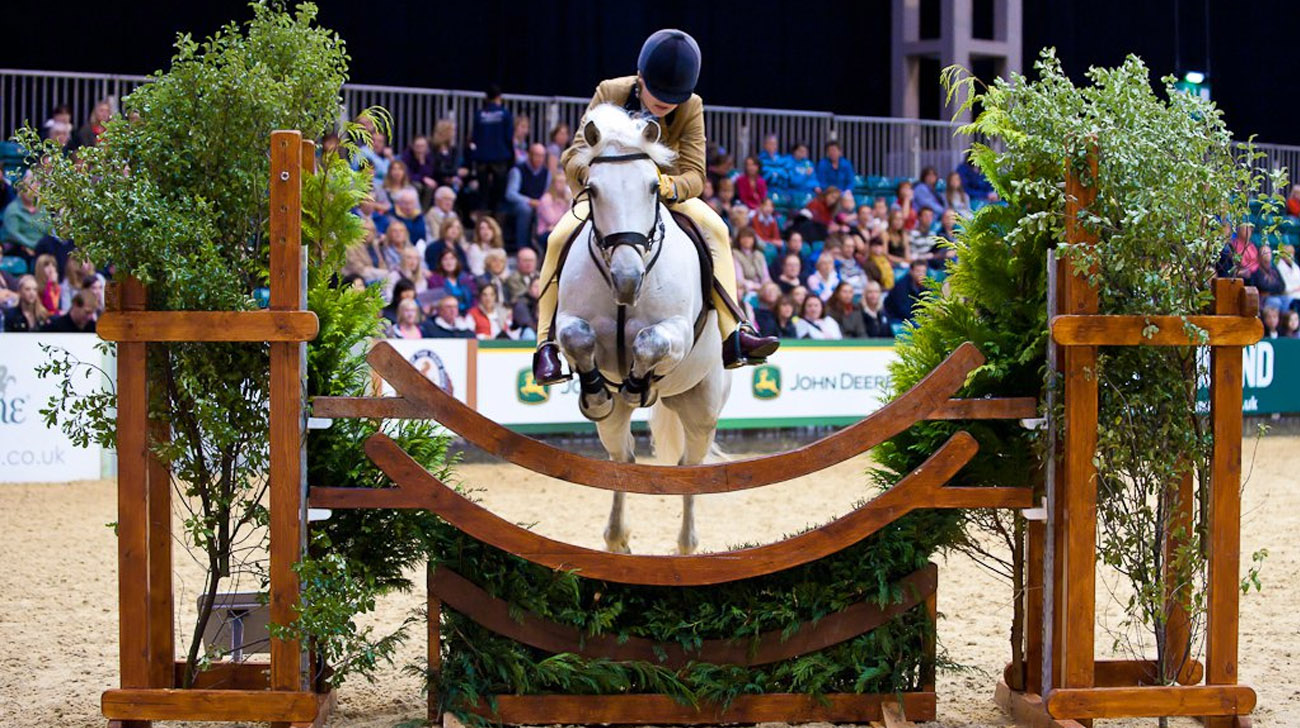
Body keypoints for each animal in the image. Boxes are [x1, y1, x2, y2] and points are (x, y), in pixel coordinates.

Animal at [551, 104, 728, 551]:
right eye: (593, 189)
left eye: (652, 187)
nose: (627, 282)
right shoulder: (569, 322)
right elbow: (577, 338)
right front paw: (598, 392)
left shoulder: (677, 331)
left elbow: (650, 342)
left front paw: (637, 383)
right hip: (618, 427)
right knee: (623, 459)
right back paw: (617, 538)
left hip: (702, 408)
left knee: (690, 468)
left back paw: (686, 545)